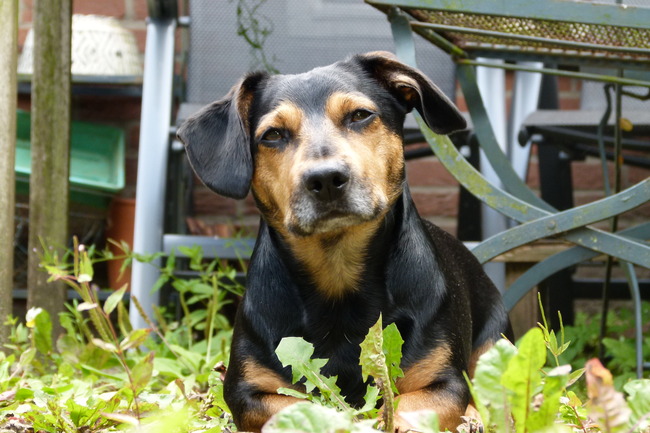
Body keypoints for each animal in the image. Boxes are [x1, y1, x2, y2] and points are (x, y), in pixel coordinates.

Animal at [177, 51, 512, 432]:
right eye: (272, 134)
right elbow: (291, 409)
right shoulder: (247, 391)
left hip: (495, 342)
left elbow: (409, 406)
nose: (325, 179)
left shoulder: (444, 381)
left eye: (360, 115)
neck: (338, 278)